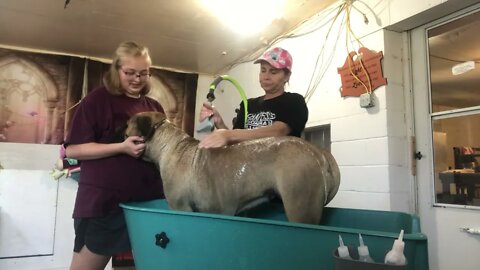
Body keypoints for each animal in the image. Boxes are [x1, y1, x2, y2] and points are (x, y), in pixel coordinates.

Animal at [125, 110, 340, 225]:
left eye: (127, 125)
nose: (120, 130)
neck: (169, 144)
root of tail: (317, 151)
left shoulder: (180, 206)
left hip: (300, 205)